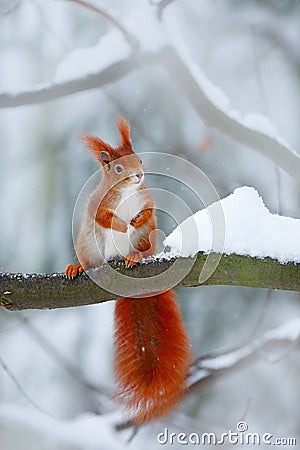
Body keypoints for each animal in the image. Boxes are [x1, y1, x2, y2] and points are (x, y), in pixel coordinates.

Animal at [65, 117, 192, 426]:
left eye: (140, 159)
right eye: (118, 168)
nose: (139, 175)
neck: (127, 193)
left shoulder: (146, 199)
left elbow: (148, 210)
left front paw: (135, 219)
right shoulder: (97, 204)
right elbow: (103, 217)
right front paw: (121, 224)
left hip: (147, 239)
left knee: (143, 245)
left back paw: (134, 257)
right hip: (87, 244)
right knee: (89, 259)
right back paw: (77, 266)